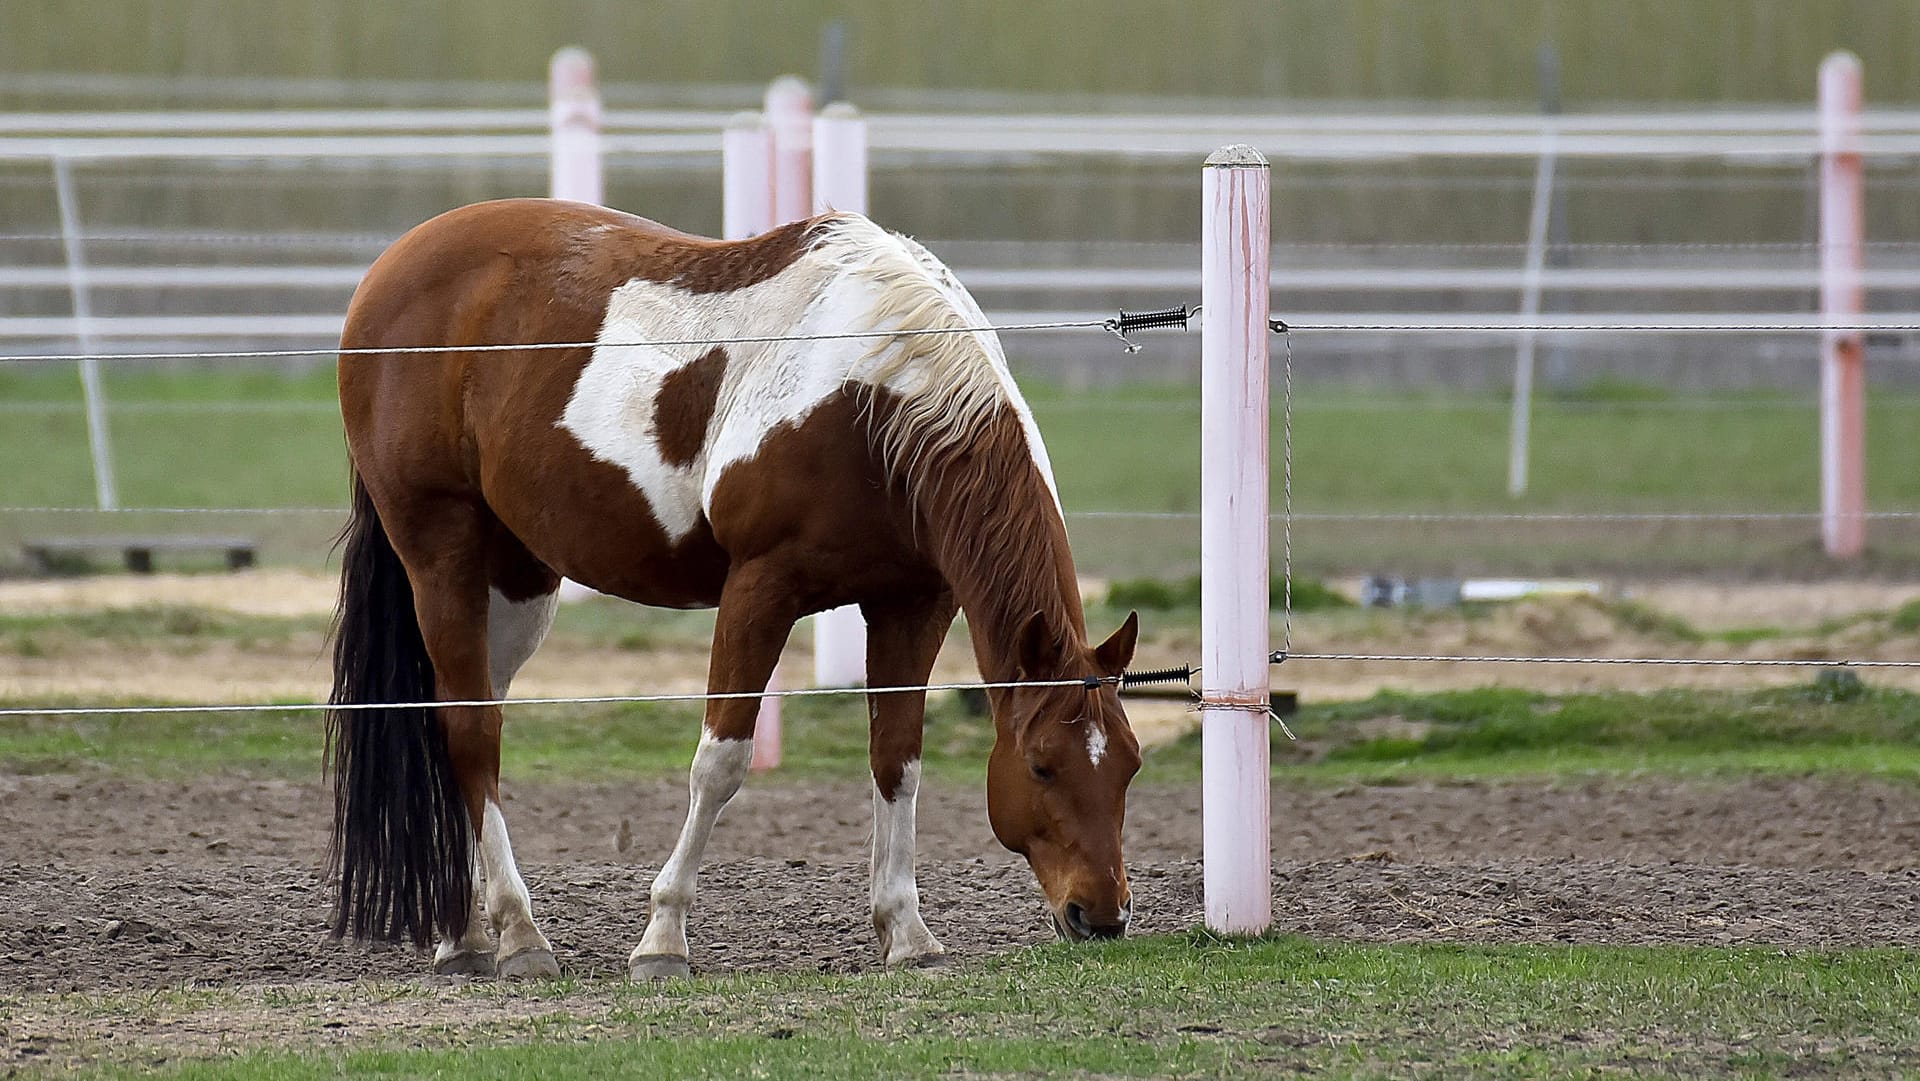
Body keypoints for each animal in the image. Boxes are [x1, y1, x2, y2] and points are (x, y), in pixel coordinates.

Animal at [328, 196, 1136, 983]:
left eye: (1129, 763)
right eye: (1041, 765)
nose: (1101, 916)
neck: (872, 399)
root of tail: (390, 270)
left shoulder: (914, 603)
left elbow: (897, 759)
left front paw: (907, 932)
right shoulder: (761, 588)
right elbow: (720, 762)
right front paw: (662, 939)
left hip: (518, 580)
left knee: (467, 724)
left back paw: (463, 934)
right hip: (442, 556)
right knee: (471, 731)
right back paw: (518, 933)